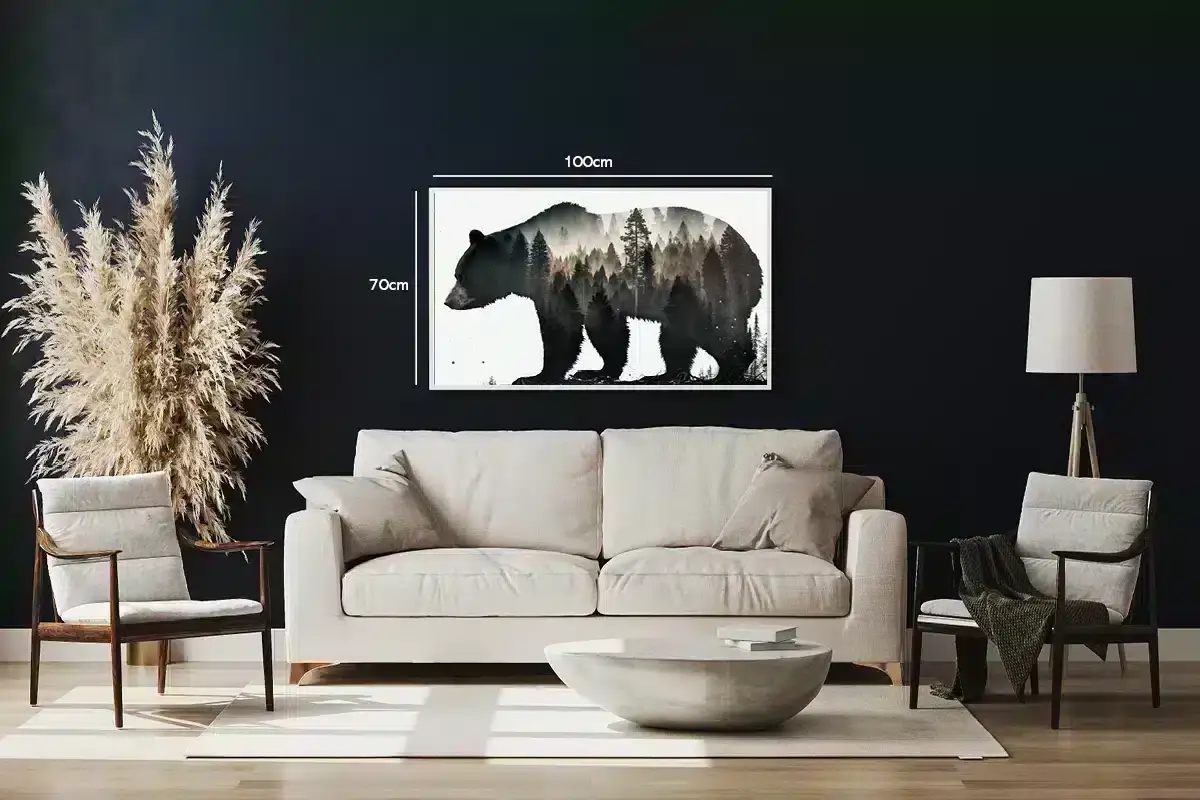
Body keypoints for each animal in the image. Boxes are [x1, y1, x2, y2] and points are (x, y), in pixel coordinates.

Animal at [443, 202, 763, 385]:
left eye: (461, 275)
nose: (448, 301)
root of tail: (752, 258)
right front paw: (592, 371)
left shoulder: (576, 278)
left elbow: (574, 327)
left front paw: (539, 376)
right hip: (677, 293)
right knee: (676, 334)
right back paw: (666, 374)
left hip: (703, 280)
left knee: (713, 325)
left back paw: (730, 370)